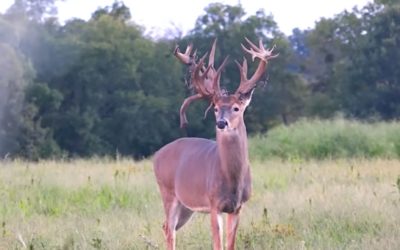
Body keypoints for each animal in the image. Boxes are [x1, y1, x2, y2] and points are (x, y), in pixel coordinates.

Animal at [153, 37, 278, 250]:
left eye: (236, 108)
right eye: (216, 108)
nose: (221, 123)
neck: (231, 178)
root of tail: (156, 155)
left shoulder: (237, 207)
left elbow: (230, 244)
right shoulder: (214, 204)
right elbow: (217, 244)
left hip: (186, 206)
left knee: (166, 226)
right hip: (167, 191)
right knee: (169, 229)